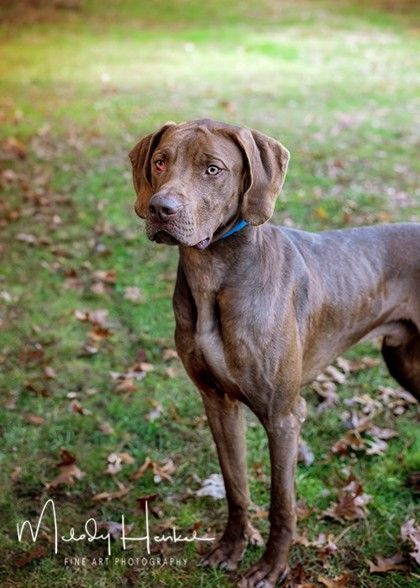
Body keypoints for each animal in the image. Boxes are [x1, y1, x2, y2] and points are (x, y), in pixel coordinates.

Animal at [130, 119, 418, 588]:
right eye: (159, 161)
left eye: (213, 168)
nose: (160, 208)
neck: (214, 275)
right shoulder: (217, 402)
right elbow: (235, 486)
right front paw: (231, 548)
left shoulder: (283, 415)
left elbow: (282, 503)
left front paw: (271, 567)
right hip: (404, 360)